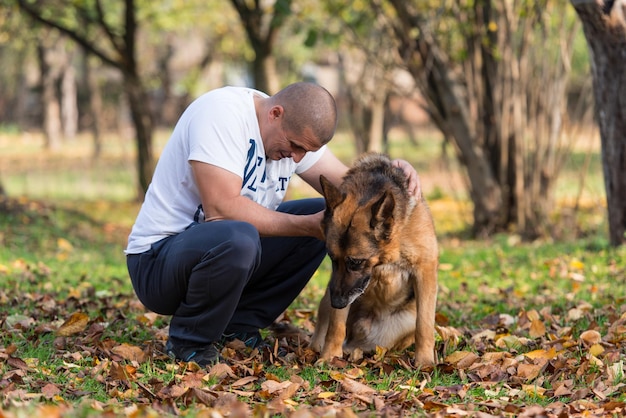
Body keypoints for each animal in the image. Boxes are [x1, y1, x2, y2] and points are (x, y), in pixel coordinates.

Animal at [308, 153, 436, 366]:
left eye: (356, 262)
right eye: (332, 258)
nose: (337, 302)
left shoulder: (425, 270)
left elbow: (424, 326)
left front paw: (425, 362)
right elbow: (336, 326)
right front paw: (329, 358)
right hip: (327, 300)